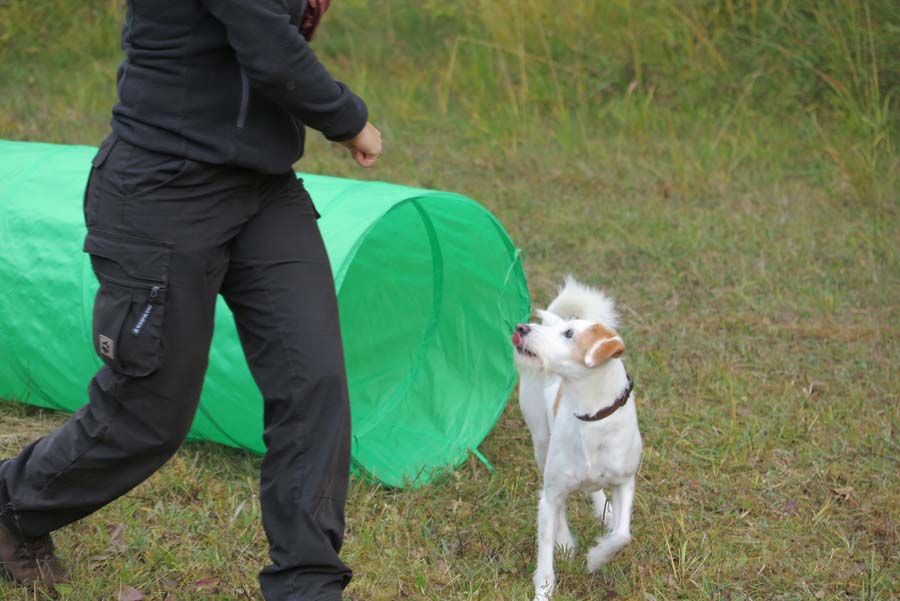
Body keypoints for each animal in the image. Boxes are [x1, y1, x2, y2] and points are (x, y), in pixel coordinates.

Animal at [512, 276, 640, 600]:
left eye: (569, 333)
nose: (521, 328)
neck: (590, 417)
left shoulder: (625, 481)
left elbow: (622, 535)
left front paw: (597, 557)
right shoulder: (552, 493)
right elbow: (545, 552)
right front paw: (544, 590)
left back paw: (604, 513)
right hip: (541, 443)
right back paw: (566, 540)